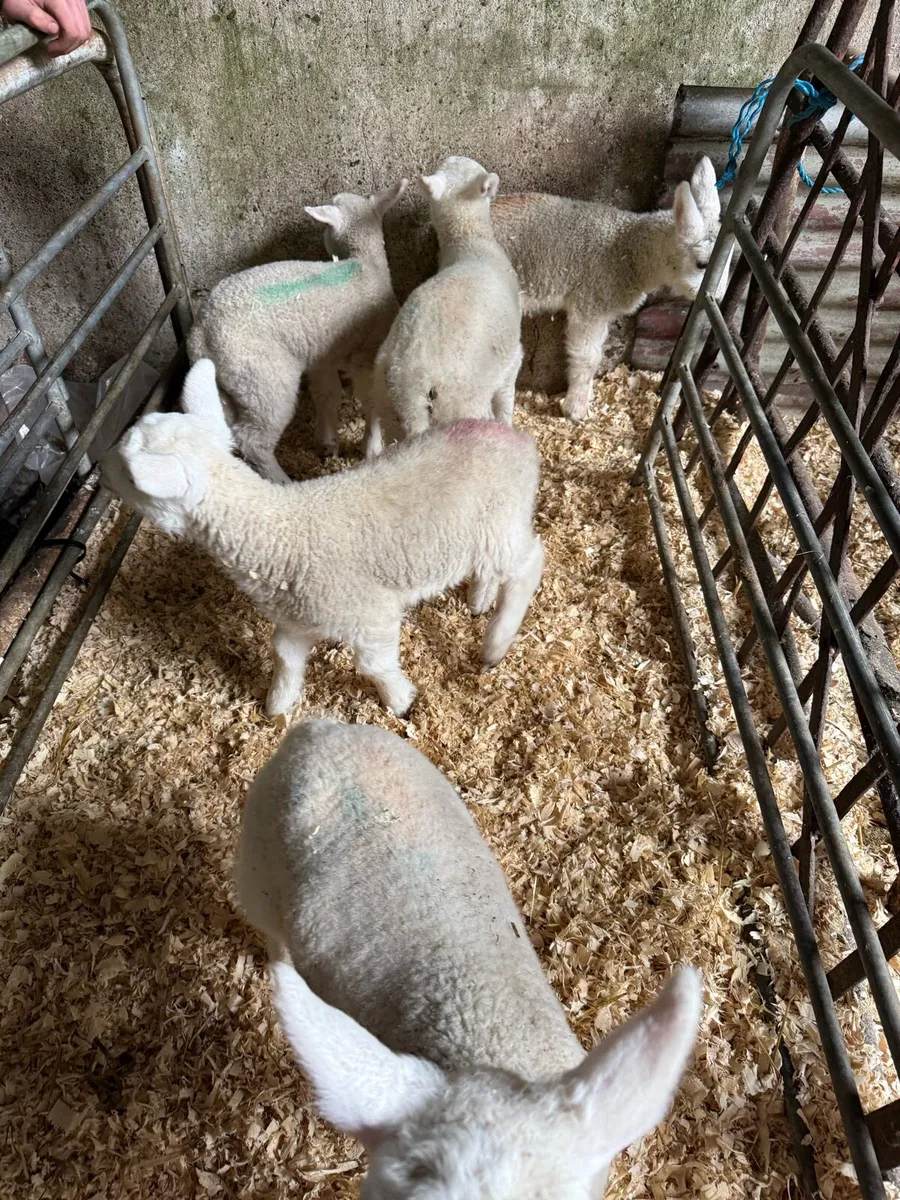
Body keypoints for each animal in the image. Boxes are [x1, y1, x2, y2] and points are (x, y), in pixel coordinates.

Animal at [100, 358, 545, 720]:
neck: (280, 534)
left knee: (530, 563)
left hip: (501, 525)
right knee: (493, 570)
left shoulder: (370, 614)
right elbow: (285, 658)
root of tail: (519, 441)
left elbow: (375, 665)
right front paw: (277, 707)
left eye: (128, 470)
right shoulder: (297, 619)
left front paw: (401, 701)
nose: (102, 471)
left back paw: (495, 643)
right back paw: (479, 601)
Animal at [186, 180, 406, 483]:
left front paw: (327, 443)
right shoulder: (366, 354)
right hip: (263, 380)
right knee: (252, 440)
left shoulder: (323, 356)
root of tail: (201, 332)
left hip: (229, 385)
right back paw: (281, 480)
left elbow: (327, 394)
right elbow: (370, 400)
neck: (365, 265)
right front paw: (371, 447)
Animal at [367, 156, 522, 457]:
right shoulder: (512, 361)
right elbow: (505, 401)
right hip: (459, 405)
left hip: (388, 409)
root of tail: (411, 386)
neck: (467, 241)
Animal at [492, 156, 727, 422]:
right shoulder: (591, 301)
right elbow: (587, 357)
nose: (717, 297)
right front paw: (576, 408)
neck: (628, 250)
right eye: (702, 264)